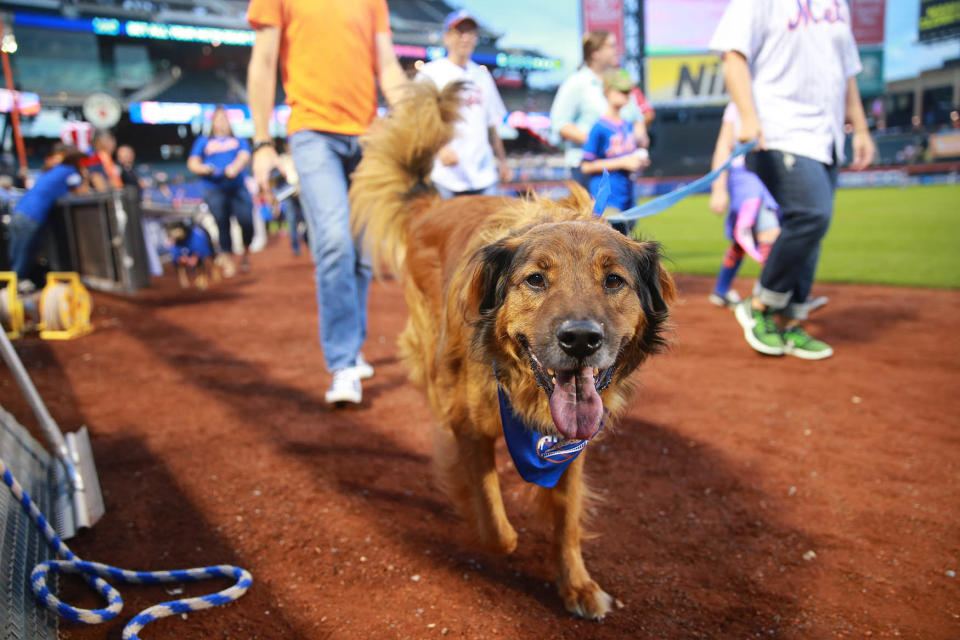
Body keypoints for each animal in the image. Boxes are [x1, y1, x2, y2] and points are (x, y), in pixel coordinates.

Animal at [348, 85, 672, 620]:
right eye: (536, 279)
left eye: (613, 280)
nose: (580, 340)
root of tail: (432, 204)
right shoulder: (468, 426)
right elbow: (496, 528)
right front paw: (493, 530)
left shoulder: (570, 445)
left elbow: (567, 519)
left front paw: (576, 584)